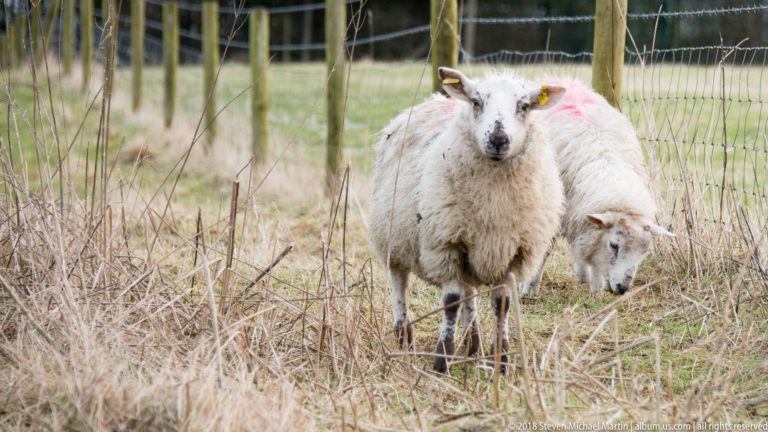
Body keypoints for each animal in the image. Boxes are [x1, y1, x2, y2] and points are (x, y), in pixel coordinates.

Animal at [370, 67, 565, 373]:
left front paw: (501, 361)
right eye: (476, 102)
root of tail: (432, 101)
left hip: (471, 249)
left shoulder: (512, 253)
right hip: (393, 237)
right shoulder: (446, 244)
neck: (494, 204)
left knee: (469, 293)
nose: (498, 139)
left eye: (523, 106)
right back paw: (405, 340)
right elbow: (451, 302)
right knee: (400, 284)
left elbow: (502, 305)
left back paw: (473, 345)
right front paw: (442, 361)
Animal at [518, 77, 674, 297]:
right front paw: (529, 286)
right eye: (614, 244)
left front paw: (597, 290)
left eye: (644, 251)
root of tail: (557, 79)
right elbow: (545, 248)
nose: (622, 289)